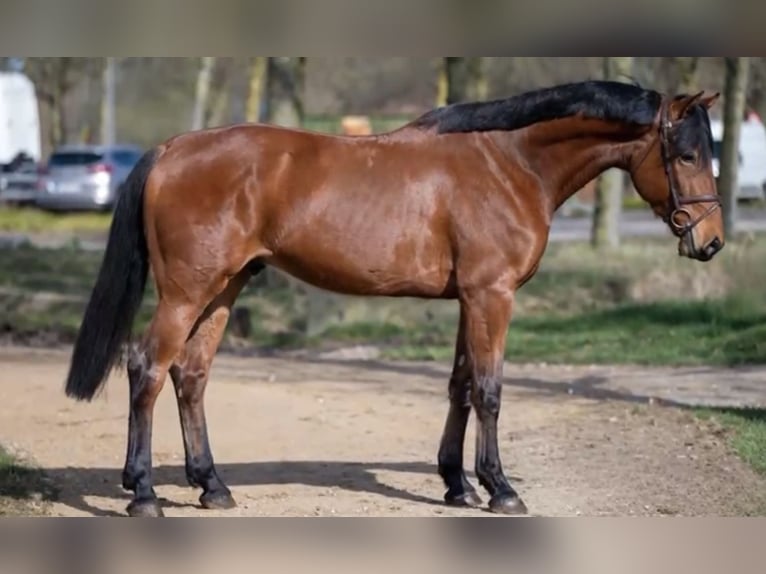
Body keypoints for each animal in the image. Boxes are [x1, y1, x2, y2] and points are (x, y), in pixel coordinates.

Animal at [63, 80, 723, 517]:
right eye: (687, 154)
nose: (711, 241)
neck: (508, 163)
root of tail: (171, 149)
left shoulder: (469, 298)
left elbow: (460, 385)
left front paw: (457, 484)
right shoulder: (492, 296)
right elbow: (490, 390)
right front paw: (501, 489)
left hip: (225, 287)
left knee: (191, 375)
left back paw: (212, 486)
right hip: (186, 291)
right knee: (147, 368)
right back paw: (144, 493)